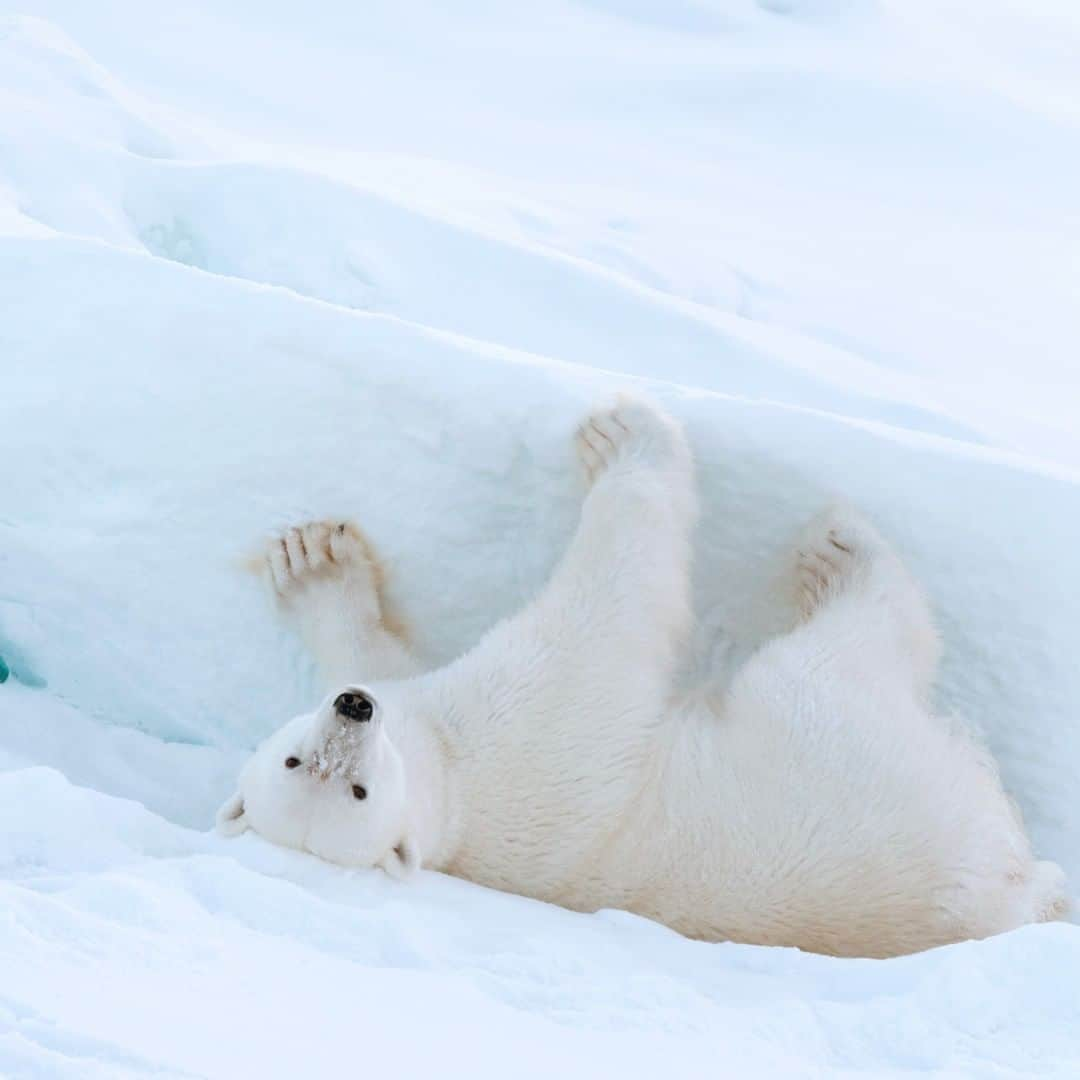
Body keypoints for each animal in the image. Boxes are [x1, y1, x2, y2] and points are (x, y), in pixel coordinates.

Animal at [214, 401, 1067, 959]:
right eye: (348, 790)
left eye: (299, 757)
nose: (353, 711)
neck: (449, 789)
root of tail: (1018, 887)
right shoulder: (529, 721)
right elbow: (613, 607)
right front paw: (626, 435)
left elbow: (385, 654)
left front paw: (310, 562)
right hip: (845, 751)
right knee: (838, 657)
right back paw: (842, 555)